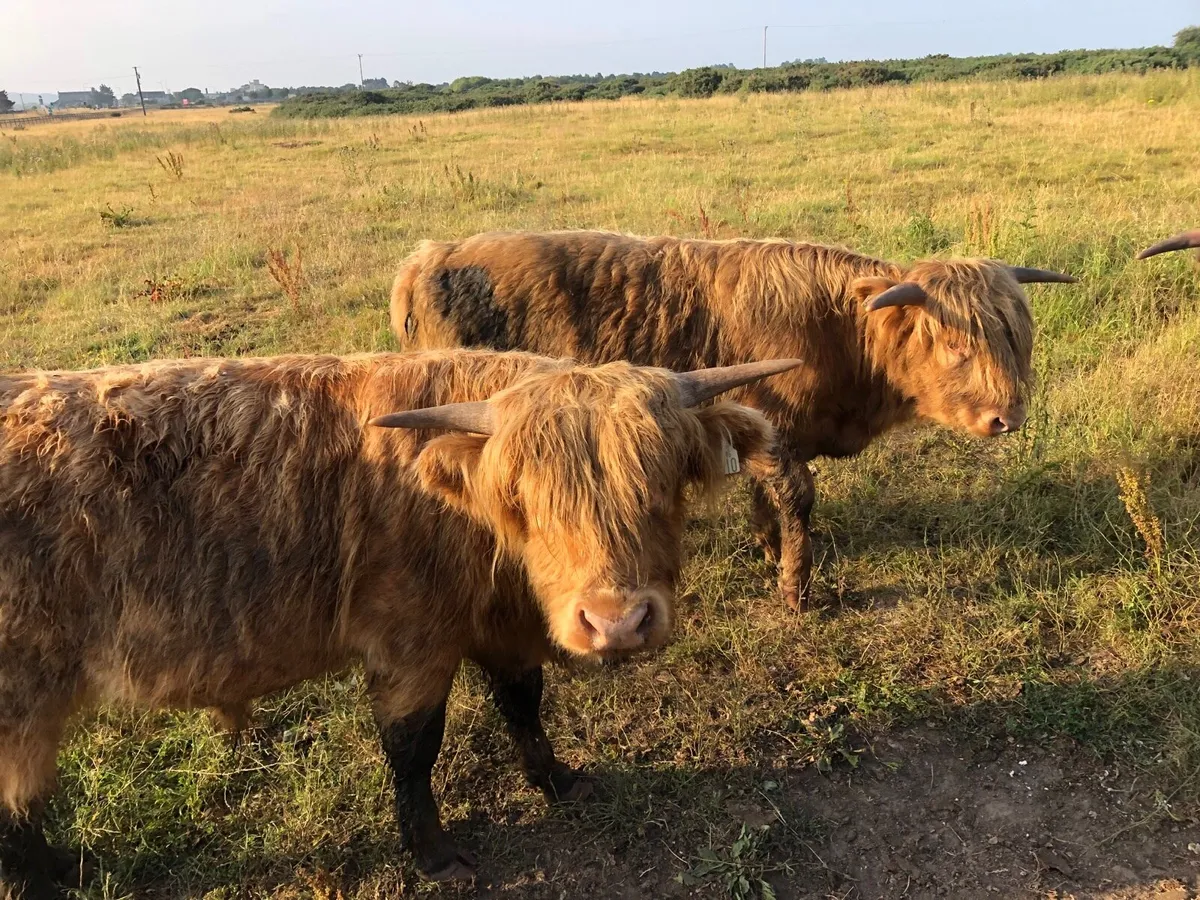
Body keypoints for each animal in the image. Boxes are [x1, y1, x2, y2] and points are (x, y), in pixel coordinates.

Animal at [0, 348, 799, 897]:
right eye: (525, 499)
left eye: (662, 484)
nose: (616, 622)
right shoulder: (410, 641)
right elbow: (414, 749)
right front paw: (435, 853)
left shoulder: (499, 626)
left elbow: (523, 703)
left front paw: (557, 779)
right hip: (22, 694)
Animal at [390, 231, 1077, 610]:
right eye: (958, 346)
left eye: (1017, 341)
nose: (1008, 417)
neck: (839, 332)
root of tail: (428, 257)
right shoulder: (778, 433)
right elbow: (797, 501)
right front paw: (796, 589)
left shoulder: (762, 434)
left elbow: (764, 497)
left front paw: (765, 545)